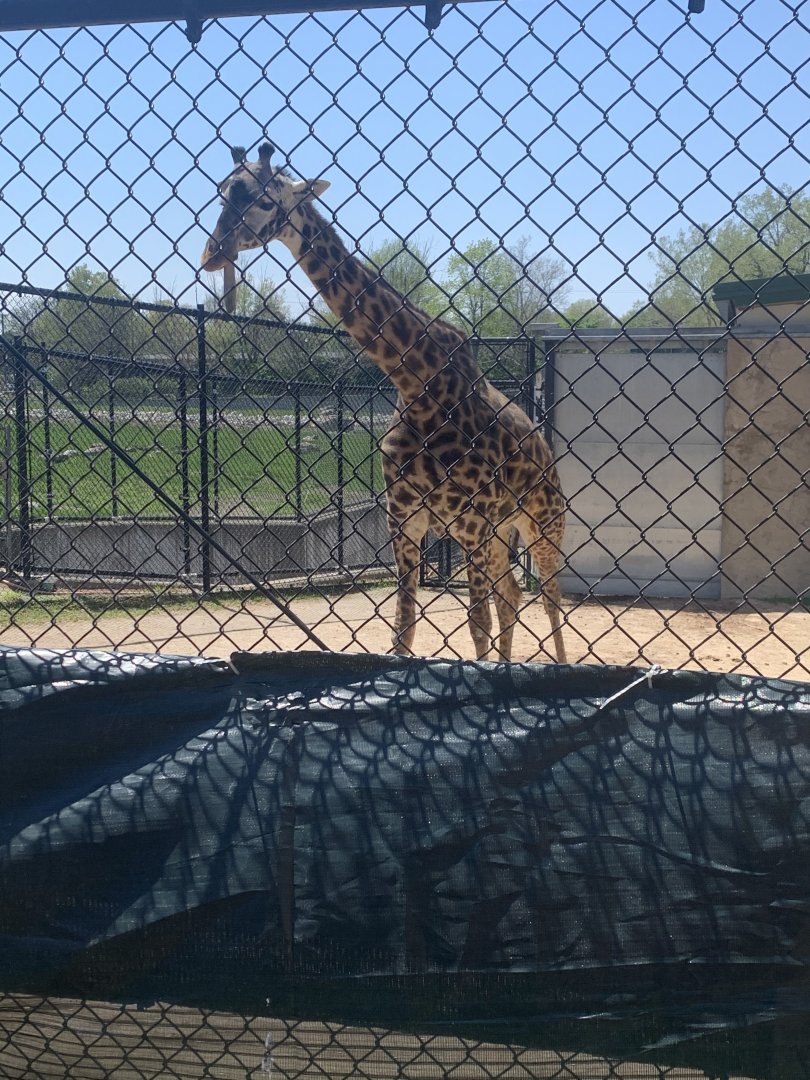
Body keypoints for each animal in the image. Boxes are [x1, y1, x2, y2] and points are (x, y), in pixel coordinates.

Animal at [201, 141, 567, 663]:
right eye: (222, 191)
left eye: (267, 201)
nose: (212, 255)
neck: (415, 378)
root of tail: (544, 446)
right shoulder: (405, 521)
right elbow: (404, 630)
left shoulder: (469, 521)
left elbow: (475, 627)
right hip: (500, 532)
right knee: (512, 595)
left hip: (541, 520)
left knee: (550, 597)